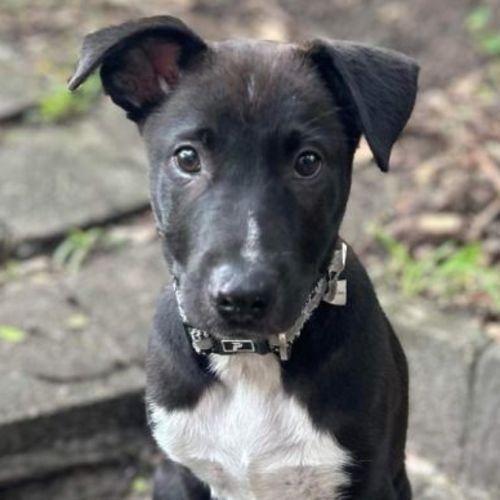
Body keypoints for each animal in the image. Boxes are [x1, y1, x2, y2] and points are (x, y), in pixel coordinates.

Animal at [68, 13, 416, 498]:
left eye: (308, 162)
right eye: (187, 158)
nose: (242, 298)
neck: (250, 359)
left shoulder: (370, 480)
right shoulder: (178, 473)